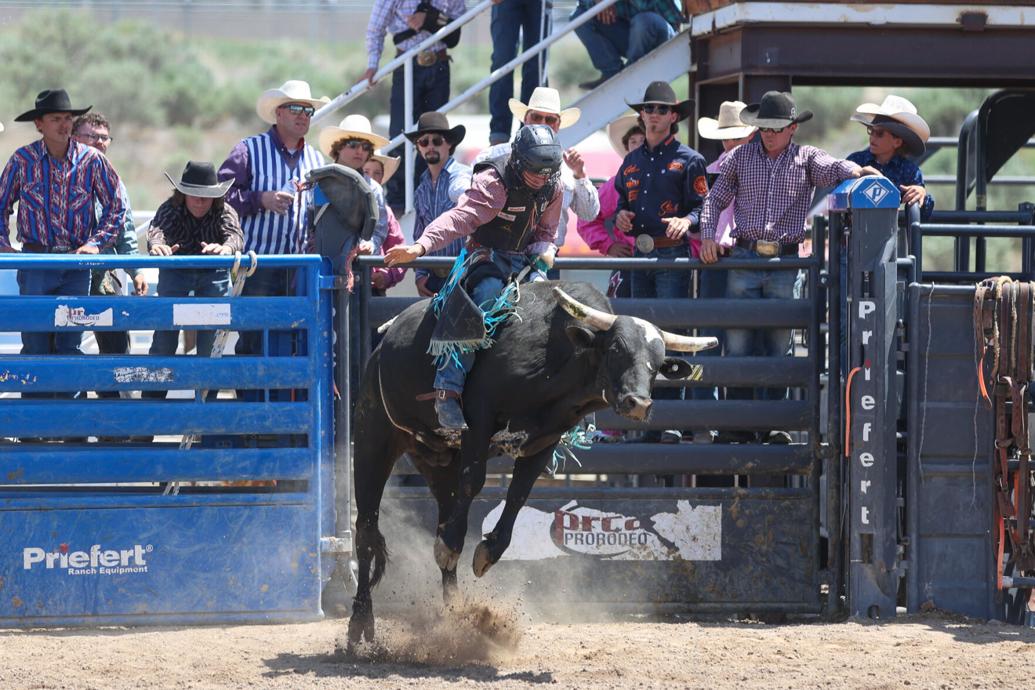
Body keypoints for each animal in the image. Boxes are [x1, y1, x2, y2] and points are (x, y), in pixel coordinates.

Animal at [346, 280, 716, 648]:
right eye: (615, 348)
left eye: (657, 362)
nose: (638, 403)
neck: (555, 358)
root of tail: (381, 347)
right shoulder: (478, 418)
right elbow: (475, 480)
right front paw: (452, 548)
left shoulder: (544, 440)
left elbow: (518, 496)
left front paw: (486, 552)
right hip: (372, 437)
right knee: (366, 529)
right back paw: (360, 625)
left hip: (437, 461)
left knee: (444, 515)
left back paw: (454, 617)